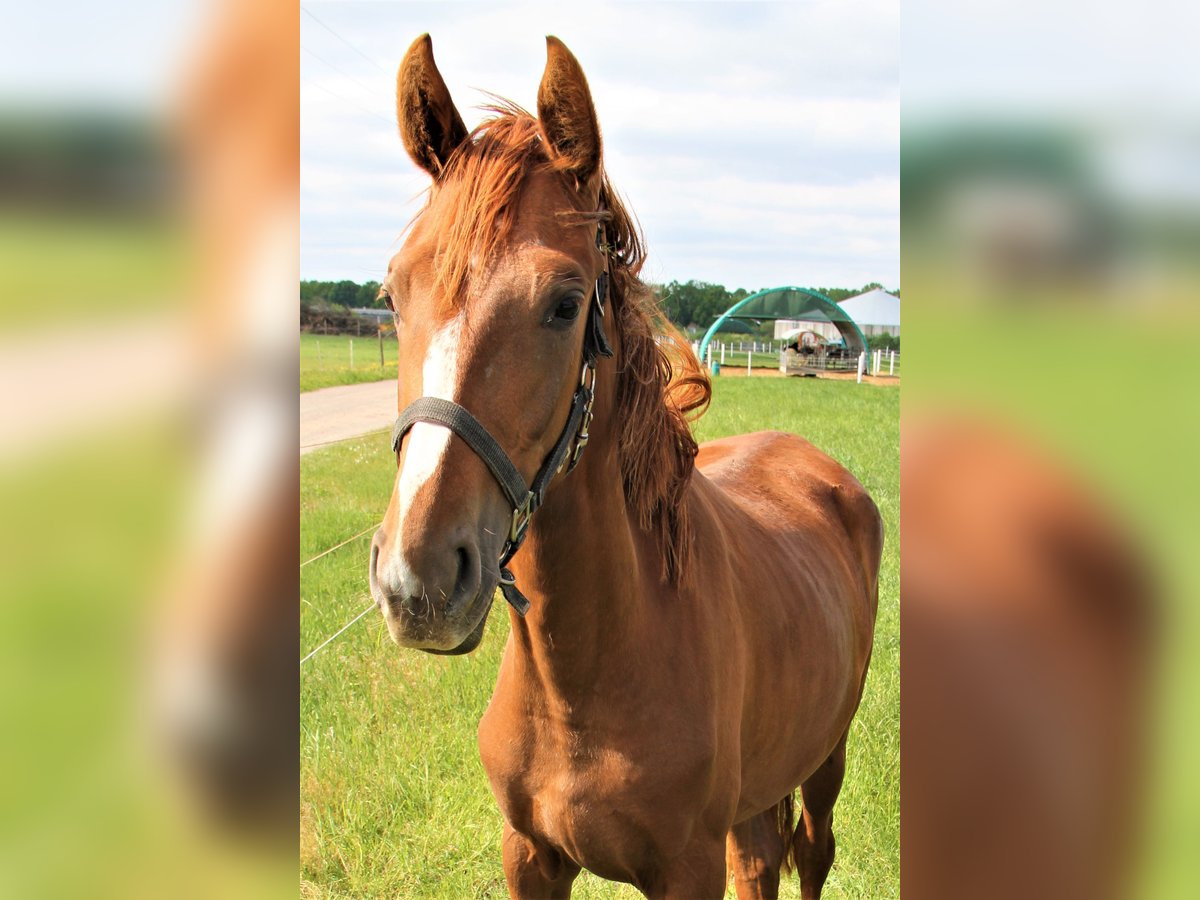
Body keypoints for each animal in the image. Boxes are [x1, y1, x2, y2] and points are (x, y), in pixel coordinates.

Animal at [364, 35, 883, 900]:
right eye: (394, 293)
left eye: (565, 303)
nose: (419, 579)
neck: (584, 676)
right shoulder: (529, 856)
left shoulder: (686, 870)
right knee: (761, 858)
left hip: (825, 760)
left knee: (810, 854)